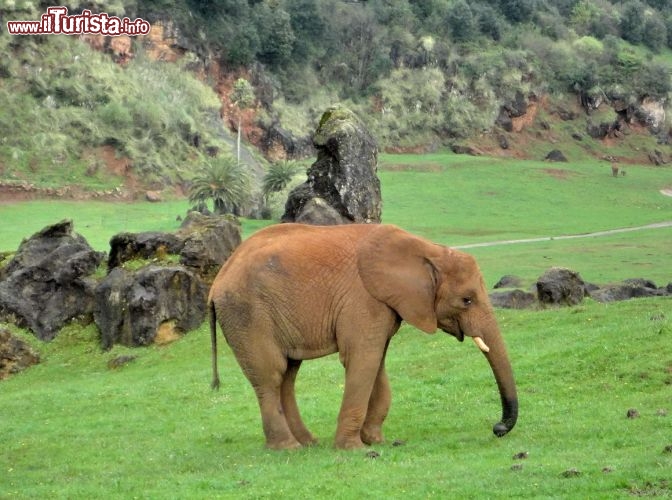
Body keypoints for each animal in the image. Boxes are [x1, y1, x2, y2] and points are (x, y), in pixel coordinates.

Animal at [211, 223, 520, 450]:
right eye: (467, 300)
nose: (497, 428)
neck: (427, 250)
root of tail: (216, 282)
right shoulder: (363, 300)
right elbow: (363, 359)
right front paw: (354, 449)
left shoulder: (384, 304)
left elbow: (377, 360)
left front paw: (377, 441)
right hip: (247, 315)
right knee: (271, 376)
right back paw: (289, 448)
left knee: (288, 374)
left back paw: (309, 443)